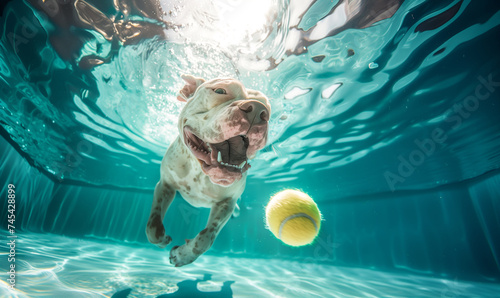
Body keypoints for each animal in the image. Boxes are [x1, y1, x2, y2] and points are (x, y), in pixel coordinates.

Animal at [146, 75, 270, 268]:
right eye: (220, 91)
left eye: (268, 108)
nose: (258, 111)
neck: (200, 172)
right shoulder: (165, 185)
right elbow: (152, 227)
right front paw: (162, 239)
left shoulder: (226, 204)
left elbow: (205, 239)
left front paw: (182, 255)